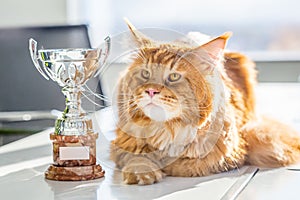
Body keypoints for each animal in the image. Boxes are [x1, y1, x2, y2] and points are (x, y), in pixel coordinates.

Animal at [110, 20, 300, 184]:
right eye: (145, 74)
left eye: (174, 77)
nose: (150, 91)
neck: (169, 128)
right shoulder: (122, 142)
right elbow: (136, 156)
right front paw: (143, 171)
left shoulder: (227, 155)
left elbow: (185, 165)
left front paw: (164, 166)